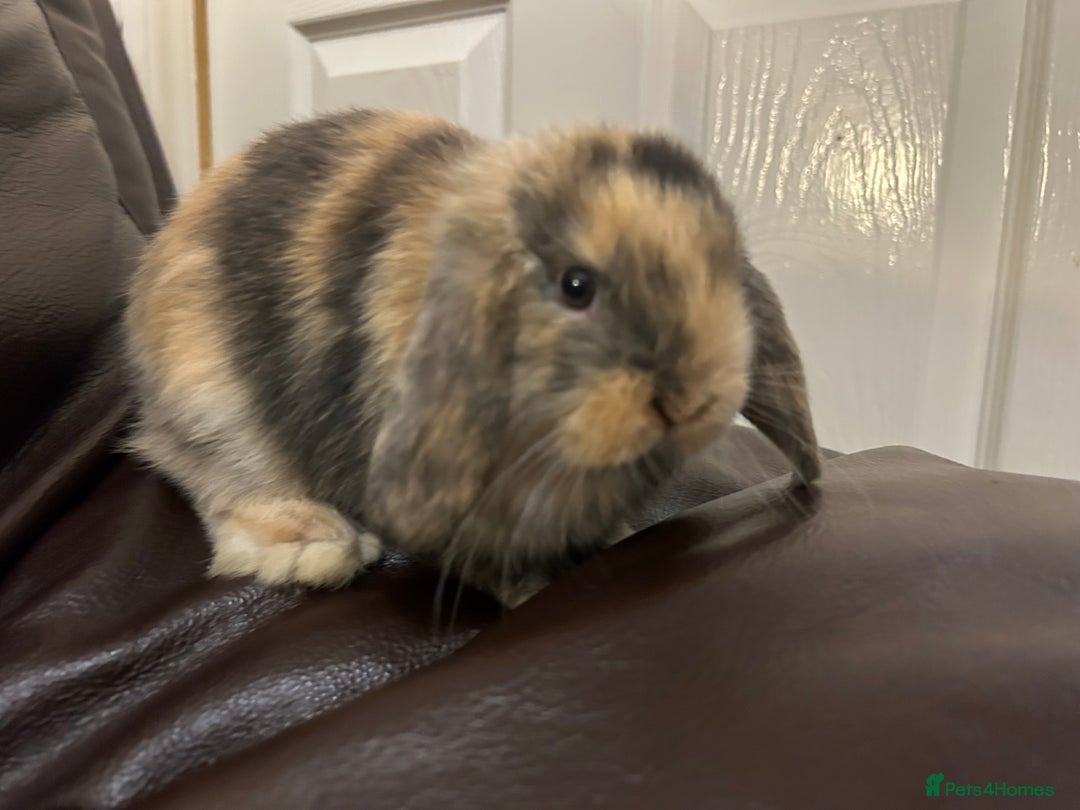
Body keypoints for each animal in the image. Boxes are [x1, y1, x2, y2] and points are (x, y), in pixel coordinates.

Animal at [124, 108, 819, 607]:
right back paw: (316, 543)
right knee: (213, 481)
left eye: (725, 268)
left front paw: (618, 542)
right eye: (576, 285)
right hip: (214, 405)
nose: (691, 398)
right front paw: (536, 591)